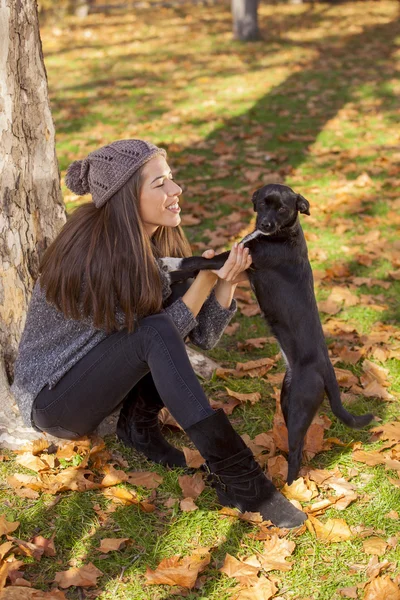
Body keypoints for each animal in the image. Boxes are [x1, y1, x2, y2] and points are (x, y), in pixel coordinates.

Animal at [160, 183, 376, 482]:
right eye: (263, 203)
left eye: (283, 209)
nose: (265, 223)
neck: (281, 235)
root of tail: (328, 369)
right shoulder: (236, 264)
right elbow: (195, 266)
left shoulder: (232, 259)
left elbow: (194, 260)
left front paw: (168, 264)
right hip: (287, 397)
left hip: (298, 407)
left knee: (297, 452)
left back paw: (290, 485)